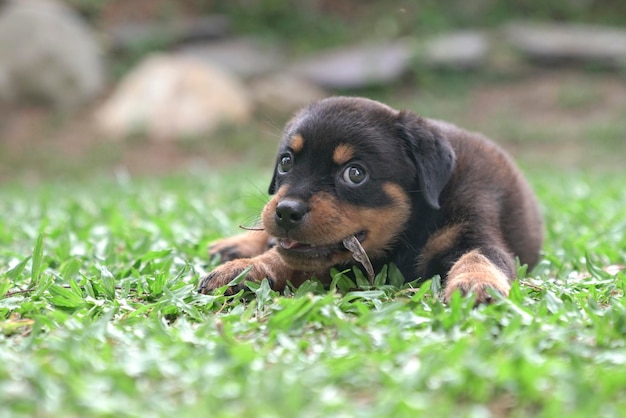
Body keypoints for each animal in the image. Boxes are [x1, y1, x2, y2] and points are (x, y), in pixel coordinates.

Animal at [197, 96, 540, 304]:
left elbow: (481, 257)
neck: (416, 223)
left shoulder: (476, 228)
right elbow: (284, 257)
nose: (285, 212)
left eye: (355, 174)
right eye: (285, 162)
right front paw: (243, 269)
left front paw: (476, 285)